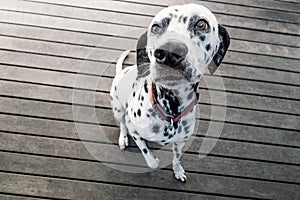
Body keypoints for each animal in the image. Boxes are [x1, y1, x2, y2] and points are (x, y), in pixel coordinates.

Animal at [110, 4, 230, 183]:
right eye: (155, 27)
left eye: (201, 24)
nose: (168, 52)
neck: (171, 108)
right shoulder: (135, 131)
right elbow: (151, 160)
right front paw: (154, 160)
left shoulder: (180, 142)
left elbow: (176, 159)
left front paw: (178, 170)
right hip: (118, 109)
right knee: (122, 124)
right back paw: (123, 138)